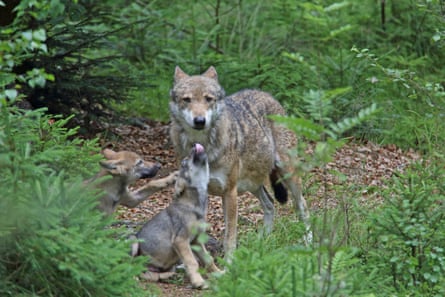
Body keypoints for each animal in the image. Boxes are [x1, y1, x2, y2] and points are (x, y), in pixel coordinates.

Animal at [129, 142, 221, 288]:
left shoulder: (196, 240)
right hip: (132, 239)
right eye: (184, 162)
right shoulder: (181, 240)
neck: (195, 206)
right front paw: (199, 282)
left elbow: (209, 259)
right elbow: (193, 262)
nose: (194, 145)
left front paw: (220, 273)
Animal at [168, 66, 310, 256]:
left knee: (302, 205)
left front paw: (229, 261)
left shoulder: (230, 192)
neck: (202, 147)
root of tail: (266, 94)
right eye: (187, 99)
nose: (199, 121)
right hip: (252, 183)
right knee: (270, 205)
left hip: (287, 175)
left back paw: (308, 242)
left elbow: (230, 237)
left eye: (208, 99)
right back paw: (262, 242)